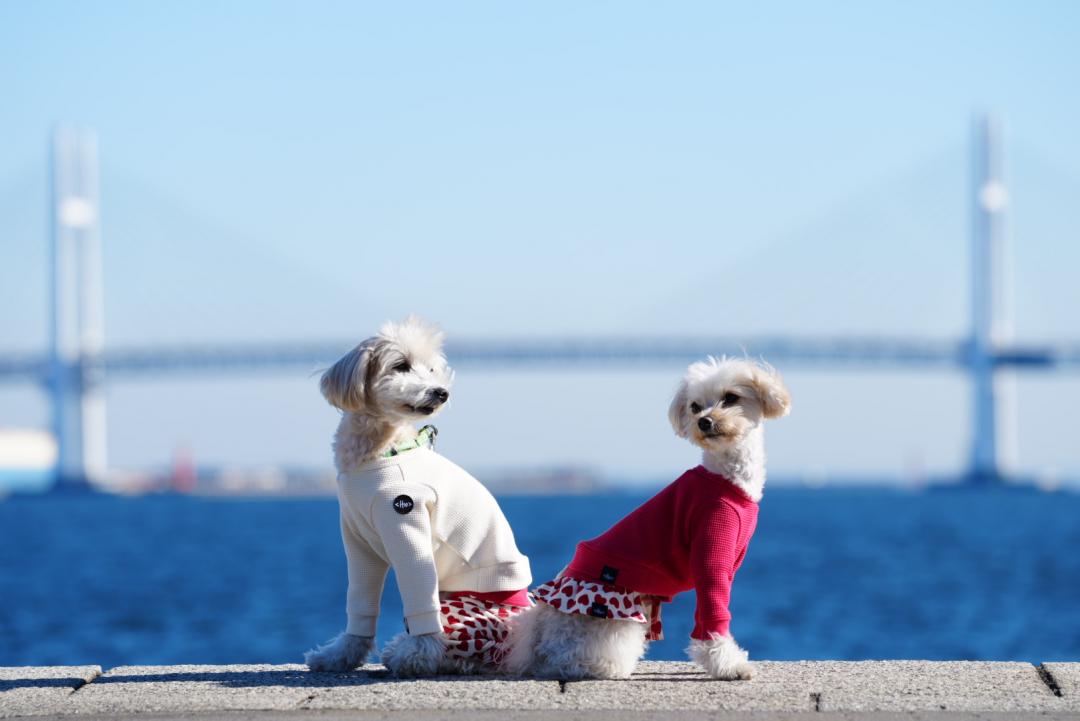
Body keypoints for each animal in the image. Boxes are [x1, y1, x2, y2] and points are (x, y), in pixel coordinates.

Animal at [306, 315, 533, 677]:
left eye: (431, 369)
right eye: (401, 365)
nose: (441, 392)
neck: (382, 449)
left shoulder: (406, 521)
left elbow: (420, 600)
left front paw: (418, 655)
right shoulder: (357, 540)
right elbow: (359, 601)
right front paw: (339, 655)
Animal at [501, 360, 790, 682]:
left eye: (730, 397)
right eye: (694, 406)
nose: (704, 421)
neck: (727, 478)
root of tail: (537, 635)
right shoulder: (711, 553)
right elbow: (713, 612)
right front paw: (729, 665)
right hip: (617, 620)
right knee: (569, 659)